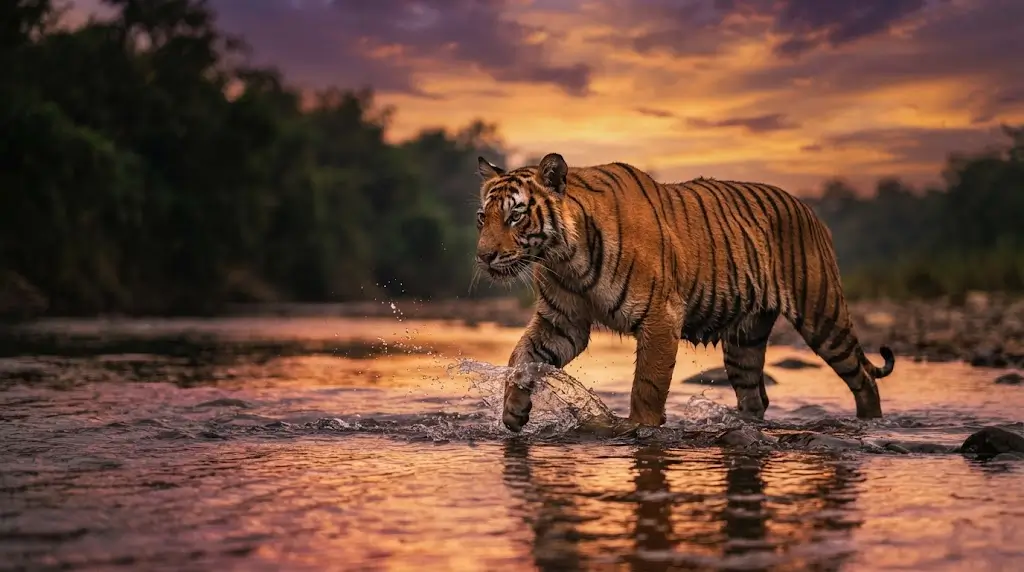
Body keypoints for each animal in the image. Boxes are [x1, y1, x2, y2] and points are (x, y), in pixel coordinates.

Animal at [473, 153, 896, 433]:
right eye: (482, 217)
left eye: (515, 215)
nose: (483, 256)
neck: (564, 258)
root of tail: (809, 209)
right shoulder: (562, 323)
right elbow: (522, 357)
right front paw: (513, 412)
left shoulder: (660, 316)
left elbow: (647, 386)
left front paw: (639, 429)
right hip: (745, 340)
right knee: (755, 396)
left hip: (822, 315)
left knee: (864, 378)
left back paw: (870, 424)